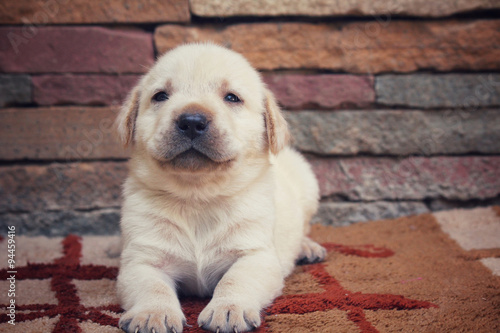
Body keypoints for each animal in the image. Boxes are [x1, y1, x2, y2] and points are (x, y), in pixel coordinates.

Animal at [116, 42, 326, 330]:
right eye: (160, 96)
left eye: (232, 98)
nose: (192, 121)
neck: (198, 196)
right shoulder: (141, 259)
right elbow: (152, 286)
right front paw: (153, 313)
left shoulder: (255, 254)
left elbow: (235, 279)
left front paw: (228, 309)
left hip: (307, 183)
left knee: (304, 227)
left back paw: (306, 247)